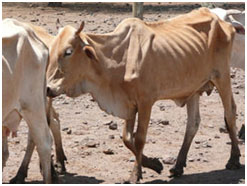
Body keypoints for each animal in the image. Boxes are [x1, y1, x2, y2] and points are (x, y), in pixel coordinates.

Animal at [45, 8, 239, 182]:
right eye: (51, 50)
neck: (117, 57)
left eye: (68, 51)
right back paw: (178, 166)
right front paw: (154, 164)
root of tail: (221, 20)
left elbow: (139, 138)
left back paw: (234, 160)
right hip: (193, 89)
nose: (47, 88)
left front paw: (135, 174)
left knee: (230, 114)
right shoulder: (129, 104)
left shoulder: (146, 102)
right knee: (193, 123)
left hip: (222, 76)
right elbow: (127, 138)